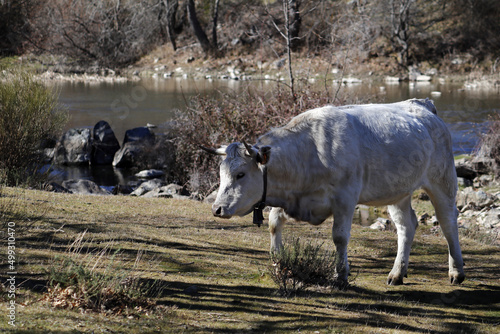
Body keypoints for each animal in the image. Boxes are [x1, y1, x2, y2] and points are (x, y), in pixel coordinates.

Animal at [206, 98, 464, 286]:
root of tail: (422, 105)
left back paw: (456, 272)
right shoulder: (288, 198)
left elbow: (339, 237)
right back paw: (397, 273)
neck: (309, 152)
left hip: (442, 180)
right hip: (397, 191)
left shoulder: (345, 198)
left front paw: (340, 276)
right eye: (221, 173)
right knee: (406, 226)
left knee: (448, 222)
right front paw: (279, 263)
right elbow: (273, 223)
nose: (217, 209)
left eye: (240, 174)